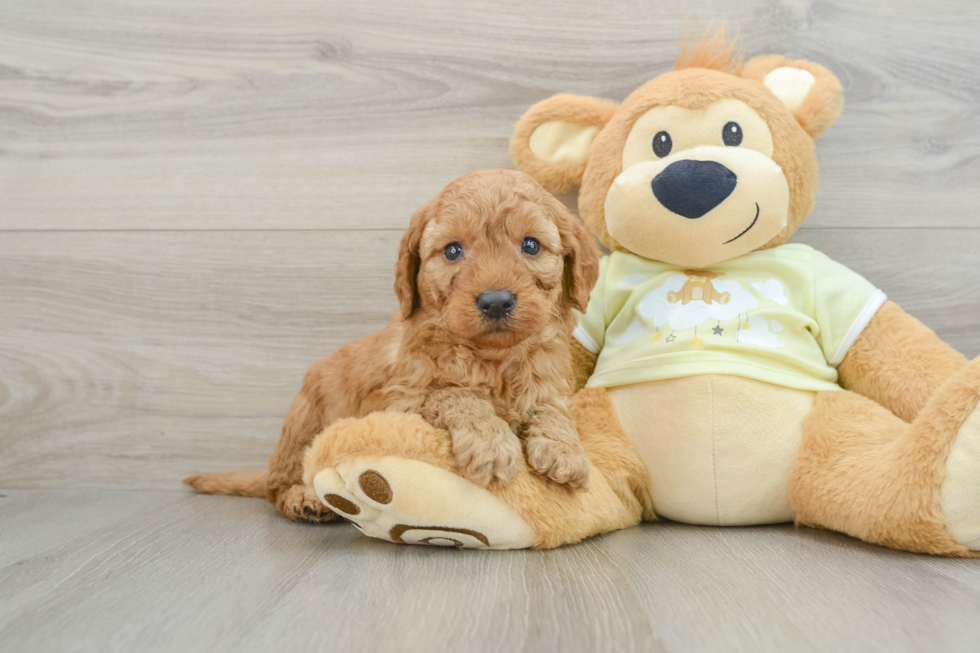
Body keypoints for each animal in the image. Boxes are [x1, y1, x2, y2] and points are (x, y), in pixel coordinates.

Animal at [183, 168, 596, 520]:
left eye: (531, 245)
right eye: (452, 250)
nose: (495, 301)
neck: (492, 357)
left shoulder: (548, 382)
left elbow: (552, 408)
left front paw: (564, 450)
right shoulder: (393, 401)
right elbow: (453, 392)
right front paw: (490, 442)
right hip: (304, 419)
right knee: (277, 485)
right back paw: (304, 499)